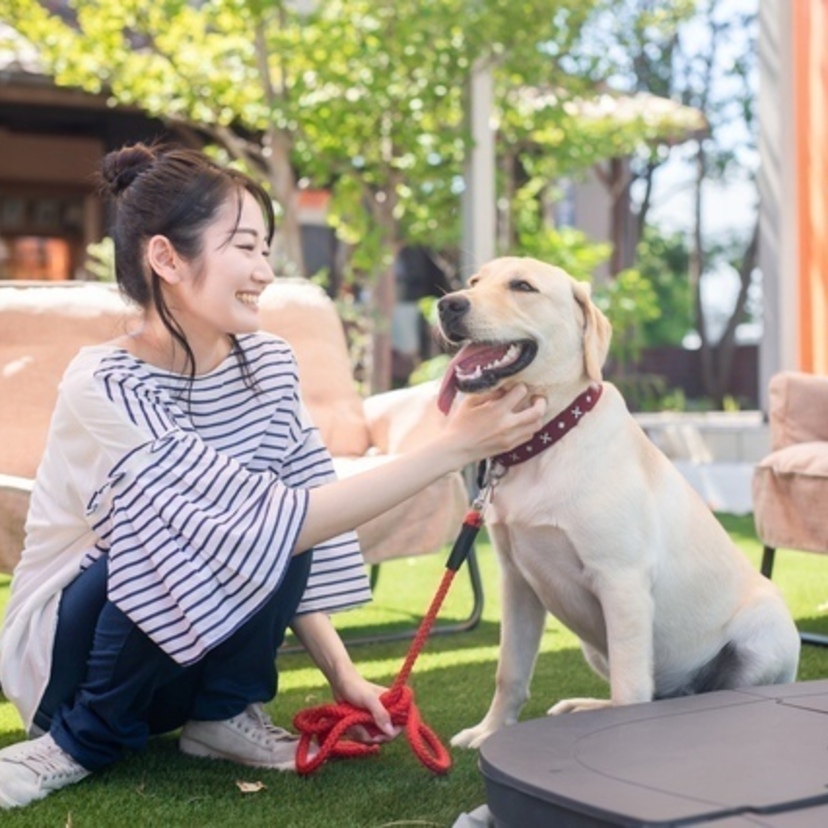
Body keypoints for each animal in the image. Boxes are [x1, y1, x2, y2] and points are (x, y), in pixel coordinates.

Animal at [436, 254, 800, 752]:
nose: (447, 305)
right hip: (595, 646)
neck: (546, 441)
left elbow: (630, 689)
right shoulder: (517, 583)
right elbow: (509, 672)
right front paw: (490, 731)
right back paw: (585, 707)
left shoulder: (621, 581)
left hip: (763, 634)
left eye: (522, 286)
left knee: (693, 695)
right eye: (474, 281)